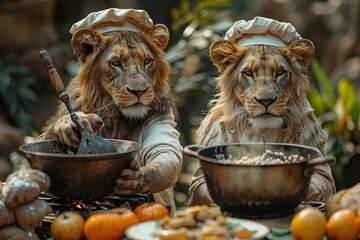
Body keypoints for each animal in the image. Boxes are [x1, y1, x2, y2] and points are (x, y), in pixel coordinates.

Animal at [39, 8, 183, 212]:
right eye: (116, 63)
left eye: (147, 61)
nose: (139, 91)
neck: (115, 115)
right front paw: (67, 125)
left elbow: (165, 149)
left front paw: (137, 179)